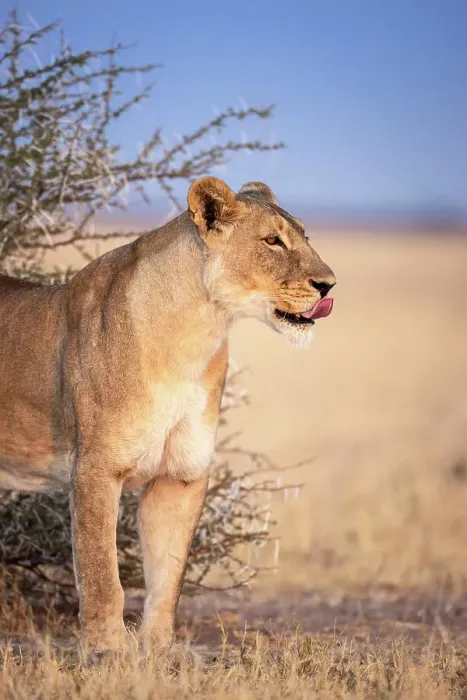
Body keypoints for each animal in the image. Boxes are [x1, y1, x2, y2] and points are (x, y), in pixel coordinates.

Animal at [0, 177, 335, 655]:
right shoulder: (95, 468)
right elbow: (101, 574)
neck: (196, 336)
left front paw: (157, 651)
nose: (329, 285)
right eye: (272, 241)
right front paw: (108, 651)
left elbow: (168, 575)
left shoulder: (179, 474)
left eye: (305, 236)